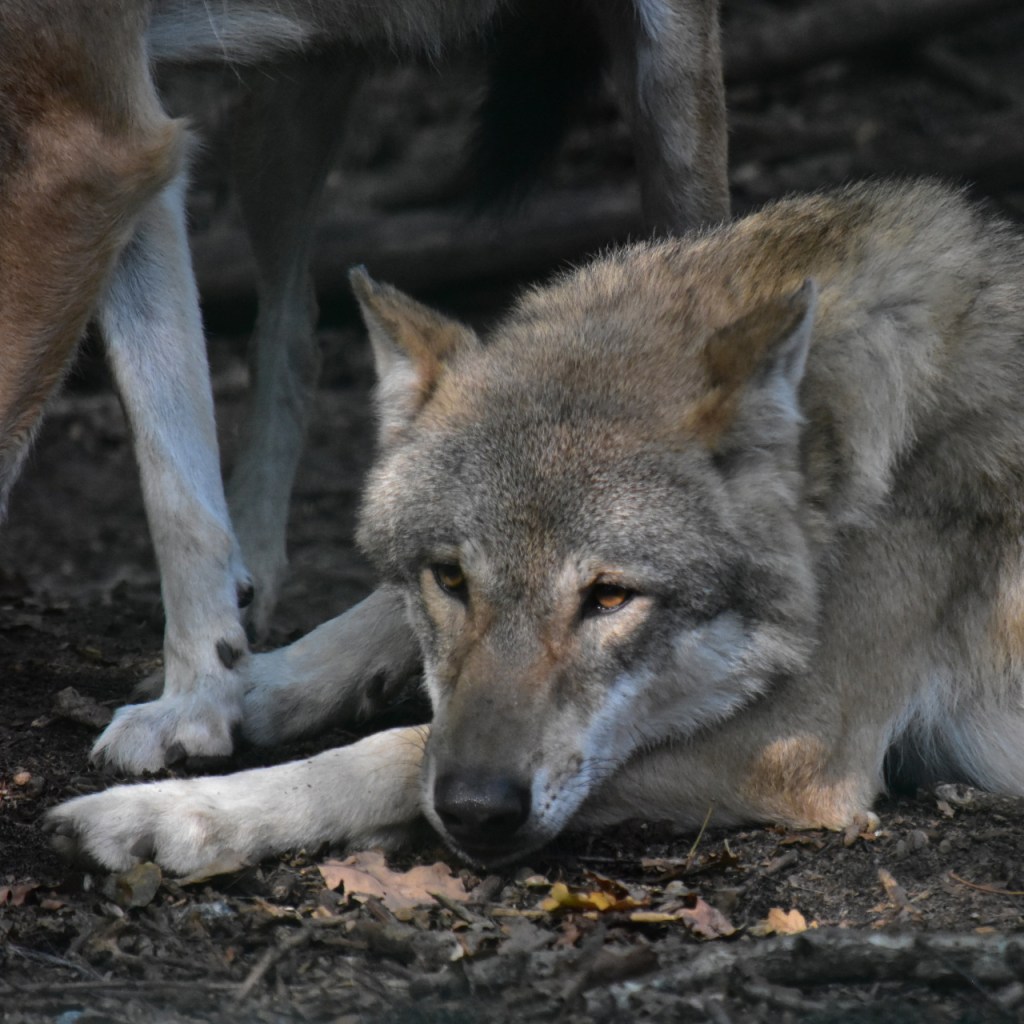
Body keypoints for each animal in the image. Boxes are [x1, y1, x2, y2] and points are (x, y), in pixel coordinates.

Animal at [0, 0, 727, 774]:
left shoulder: (81, 143)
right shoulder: (131, 144)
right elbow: (176, 484)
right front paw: (197, 702)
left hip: (671, 94)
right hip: (274, 107)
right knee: (292, 333)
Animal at [47, 179, 1024, 874]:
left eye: (611, 598)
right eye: (451, 579)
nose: (479, 810)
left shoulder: (802, 746)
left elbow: (395, 750)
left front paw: (180, 815)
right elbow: (367, 619)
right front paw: (213, 694)